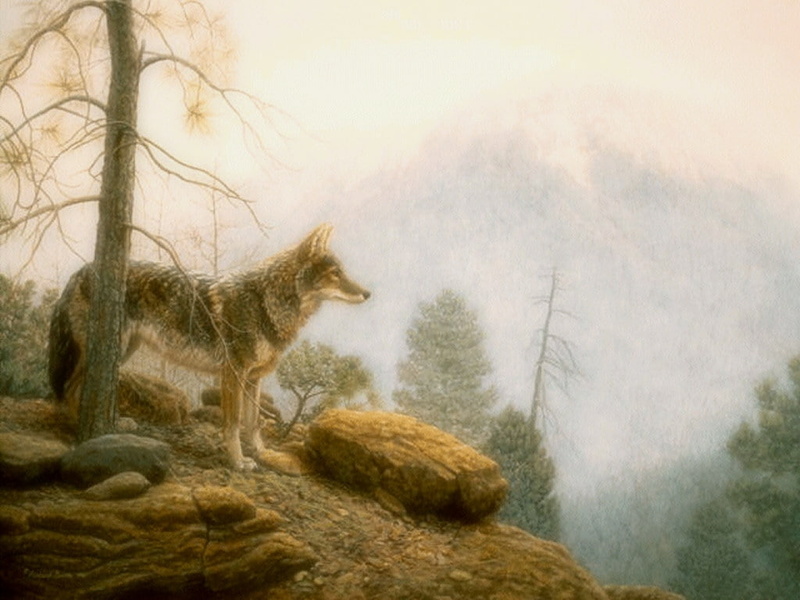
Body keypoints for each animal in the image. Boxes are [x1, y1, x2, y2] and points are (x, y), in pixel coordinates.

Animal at [49, 224, 370, 470]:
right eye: (336, 273)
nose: (368, 293)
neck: (266, 303)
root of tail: (82, 269)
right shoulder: (233, 374)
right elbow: (233, 424)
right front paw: (238, 463)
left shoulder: (254, 379)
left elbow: (253, 423)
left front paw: (262, 453)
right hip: (104, 350)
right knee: (68, 390)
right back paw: (79, 431)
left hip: (123, 350)